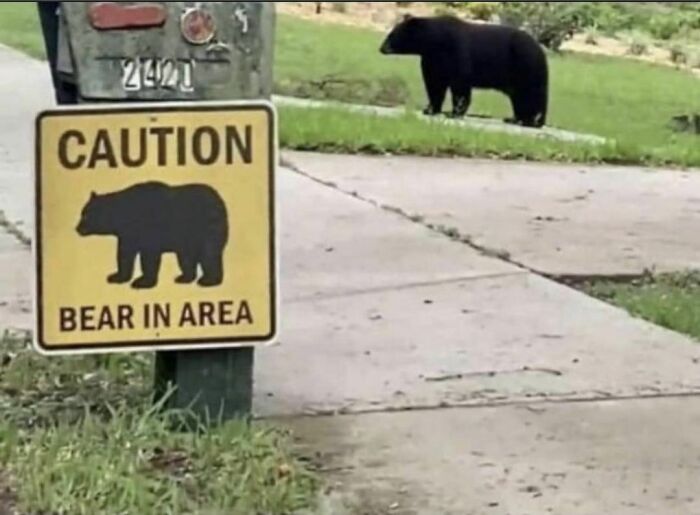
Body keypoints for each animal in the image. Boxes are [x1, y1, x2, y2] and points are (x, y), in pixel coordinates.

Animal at [76, 182, 229, 290]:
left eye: (85, 215)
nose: (77, 228)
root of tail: (220, 200)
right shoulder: (127, 235)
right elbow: (125, 254)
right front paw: (116, 277)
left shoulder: (148, 230)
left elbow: (148, 256)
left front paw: (142, 282)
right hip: (187, 240)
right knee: (186, 258)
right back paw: (184, 278)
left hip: (207, 229)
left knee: (209, 255)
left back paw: (209, 280)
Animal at [380, 15, 549, 128]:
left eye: (391, 35)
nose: (381, 48)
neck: (435, 42)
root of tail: (541, 49)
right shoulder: (432, 60)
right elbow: (434, 84)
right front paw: (430, 109)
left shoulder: (455, 50)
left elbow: (460, 83)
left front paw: (454, 112)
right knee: (519, 98)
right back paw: (514, 118)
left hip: (526, 66)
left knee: (532, 94)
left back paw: (532, 121)